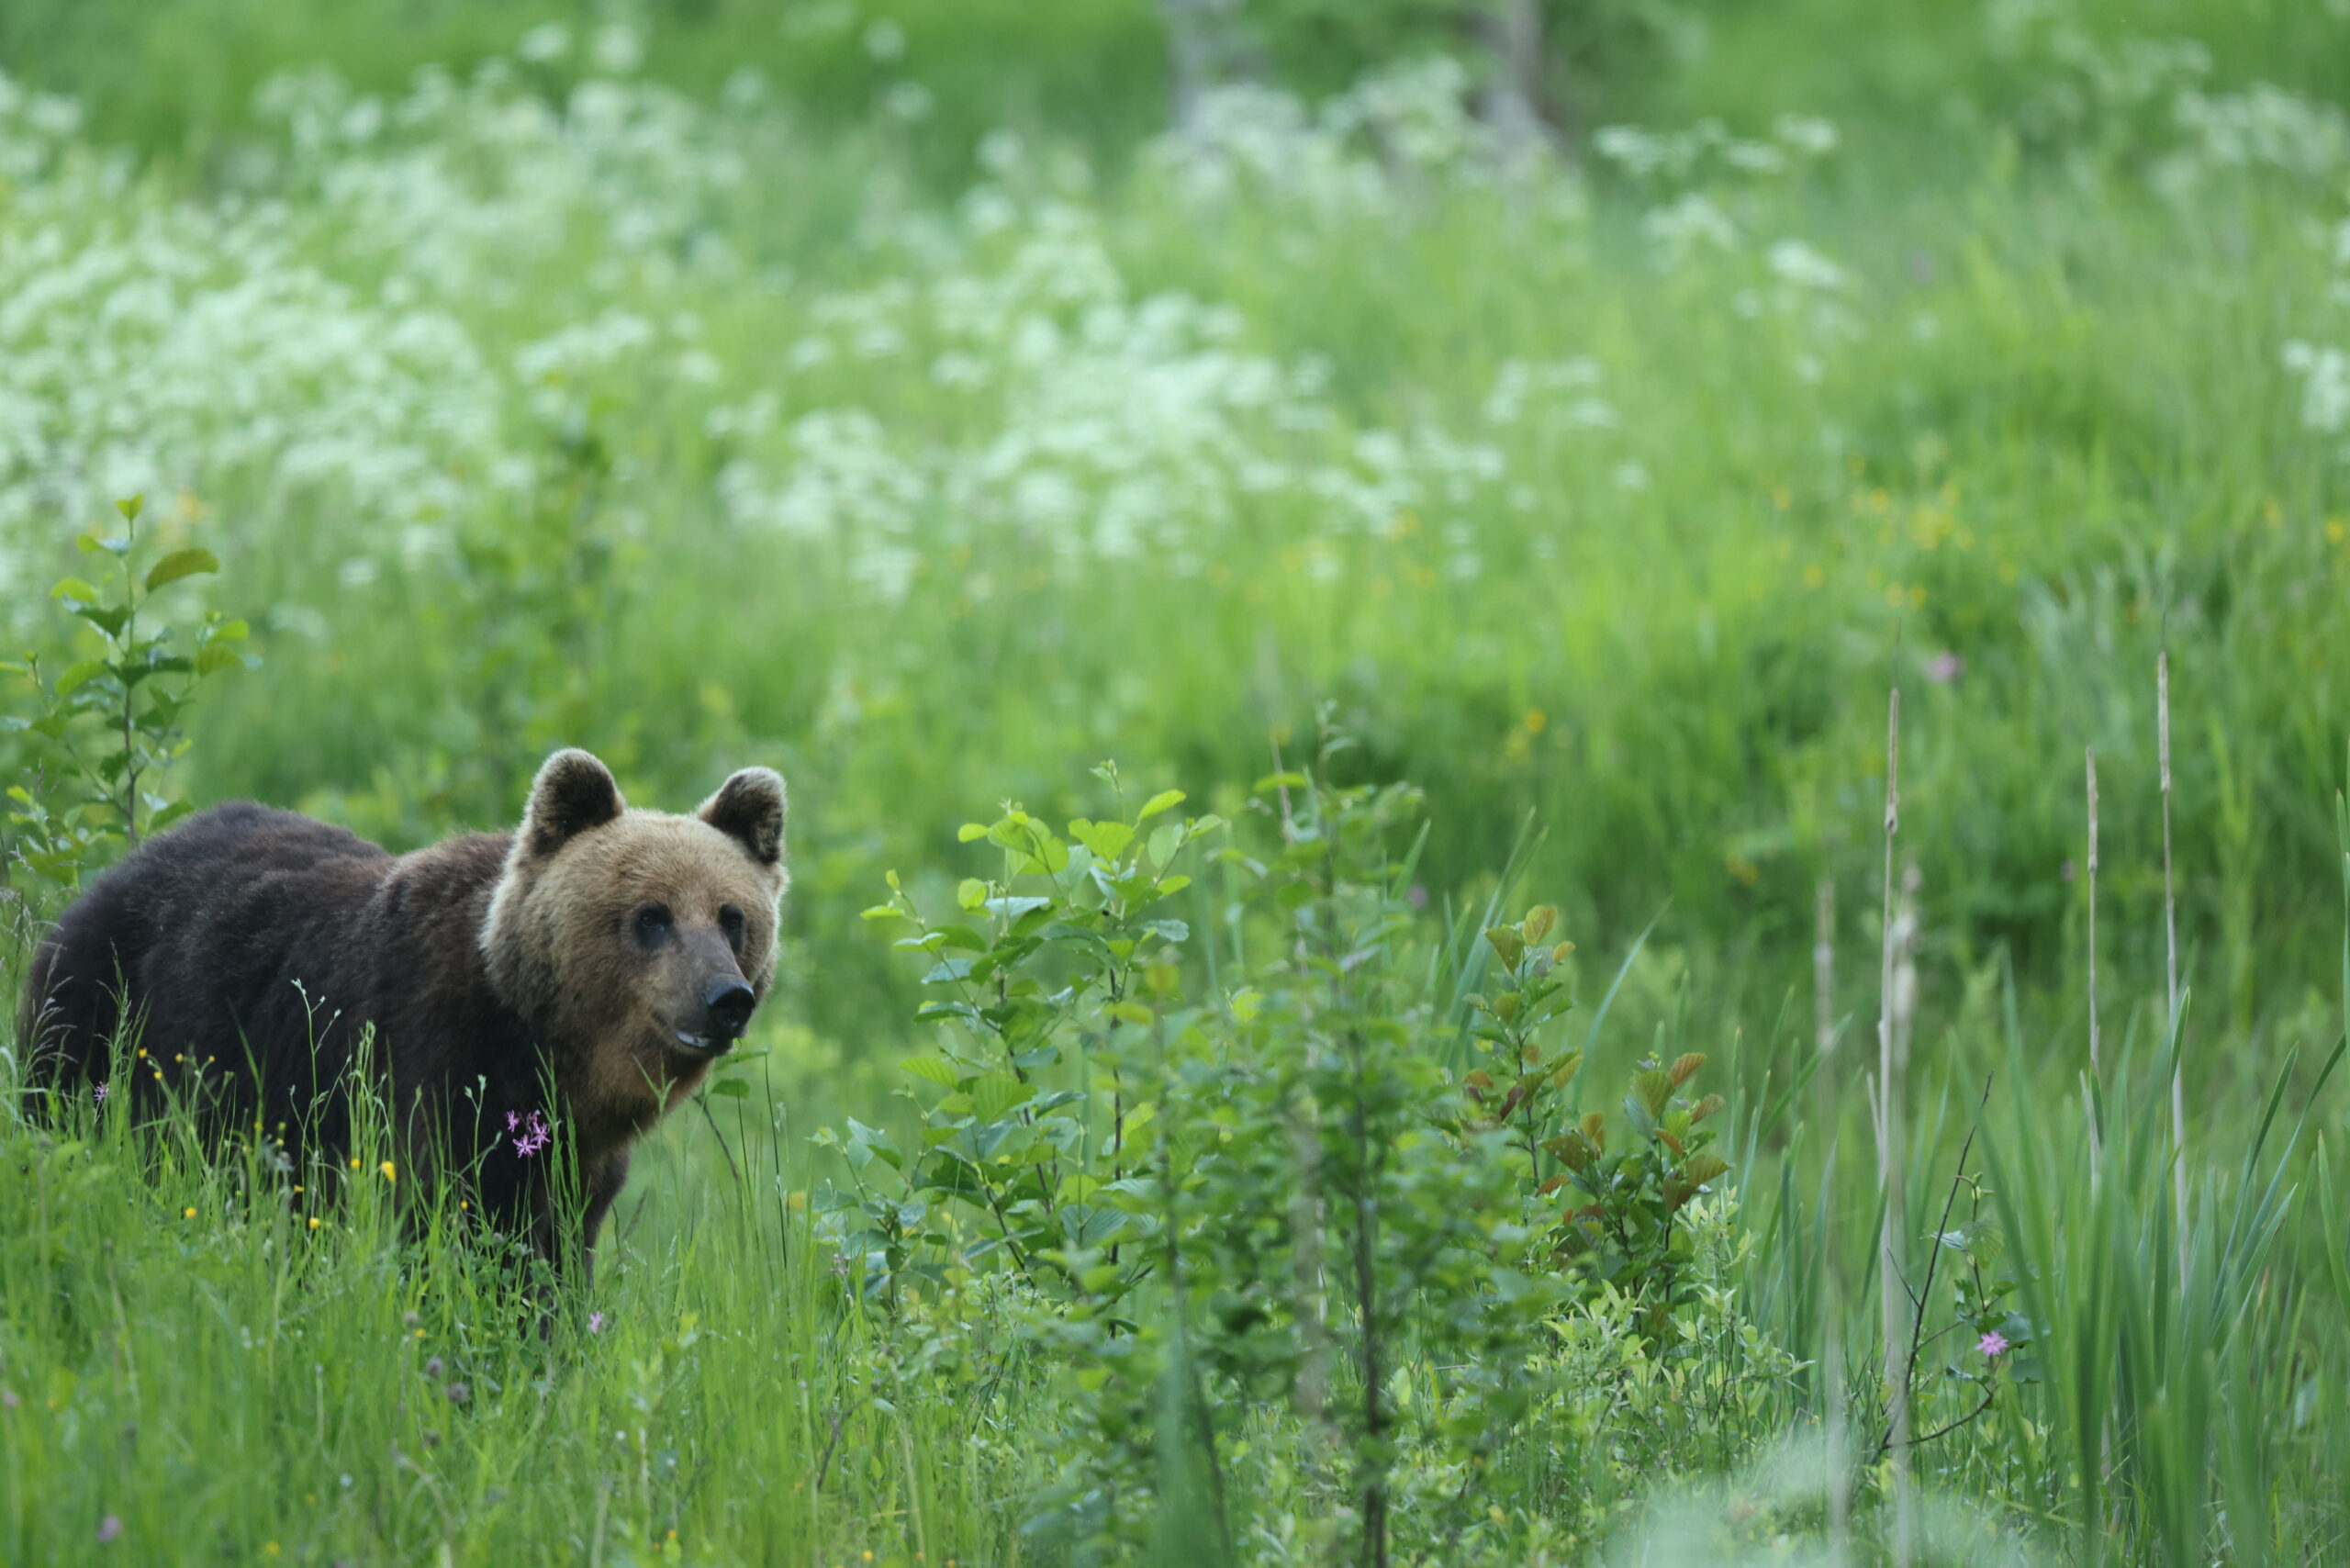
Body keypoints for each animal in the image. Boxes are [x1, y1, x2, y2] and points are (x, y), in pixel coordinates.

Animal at [14, 752, 785, 1279]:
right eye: (651, 916)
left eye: (732, 916)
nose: (725, 998)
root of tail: (116, 870)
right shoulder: (435, 1065)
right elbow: (457, 1224)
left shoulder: (578, 1162)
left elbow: (557, 1254)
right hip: (108, 1026)